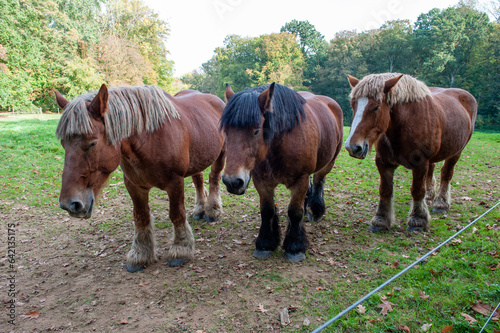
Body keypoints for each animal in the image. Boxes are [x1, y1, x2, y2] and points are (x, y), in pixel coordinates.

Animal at [54, 84, 225, 272]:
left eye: (92, 143)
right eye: (63, 144)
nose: (69, 204)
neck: (150, 138)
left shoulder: (175, 183)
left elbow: (177, 214)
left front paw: (181, 249)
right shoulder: (134, 185)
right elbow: (141, 217)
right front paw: (141, 254)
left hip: (221, 155)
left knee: (214, 178)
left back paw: (213, 210)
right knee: (198, 180)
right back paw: (200, 209)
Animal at [222, 81, 344, 260]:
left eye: (257, 130)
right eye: (226, 131)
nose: (232, 182)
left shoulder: (300, 180)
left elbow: (294, 212)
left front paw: (295, 246)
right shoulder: (262, 182)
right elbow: (267, 210)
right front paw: (265, 243)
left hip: (329, 162)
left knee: (319, 181)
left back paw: (315, 211)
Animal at [344, 72, 476, 231]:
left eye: (376, 107)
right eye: (353, 105)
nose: (353, 147)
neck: (404, 123)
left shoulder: (420, 163)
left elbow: (417, 190)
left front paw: (418, 219)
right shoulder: (384, 163)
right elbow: (385, 190)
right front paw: (381, 220)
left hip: (456, 152)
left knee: (446, 174)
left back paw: (441, 203)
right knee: (431, 171)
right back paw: (429, 197)